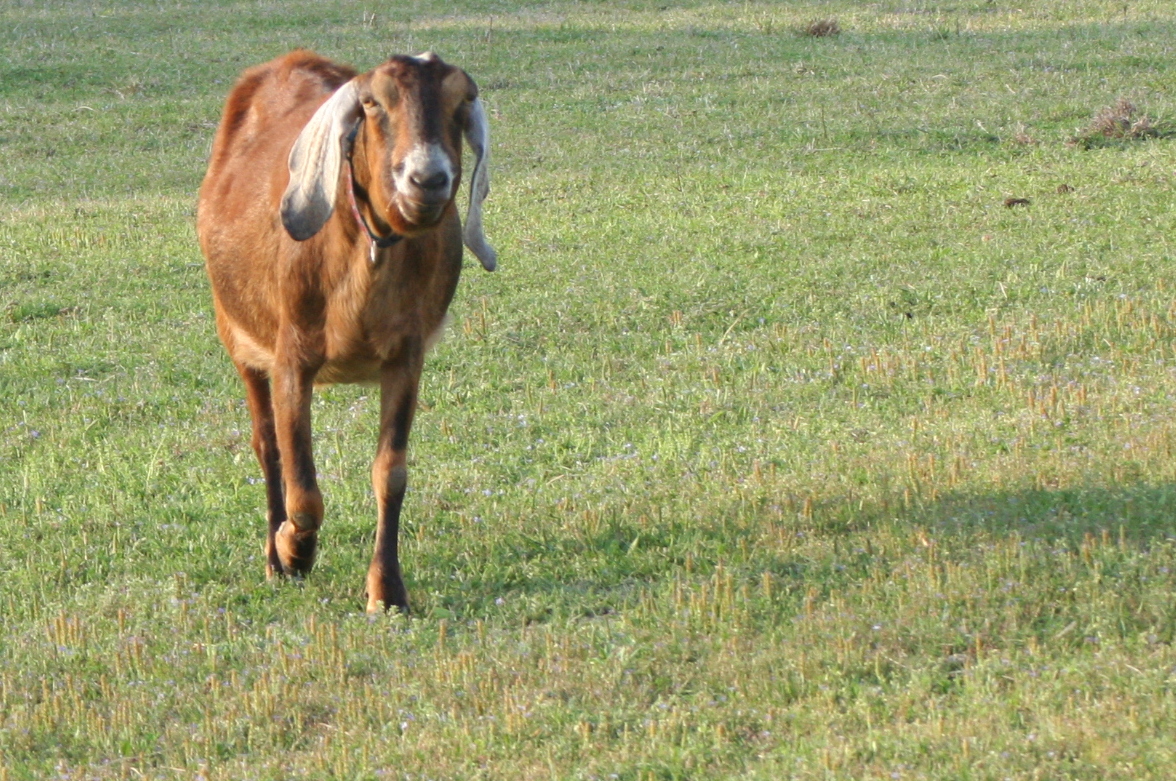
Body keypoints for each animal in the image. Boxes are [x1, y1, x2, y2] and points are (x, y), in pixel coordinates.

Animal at [196, 50, 496, 612]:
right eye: (374, 104)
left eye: (460, 102)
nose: (428, 179)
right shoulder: (291, 357)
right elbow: (302, 488)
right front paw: (293, 552)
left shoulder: (406, 357)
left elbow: (390, 474)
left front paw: (387, 590)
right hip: (237, 332)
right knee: (266, 445)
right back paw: (274, 558)